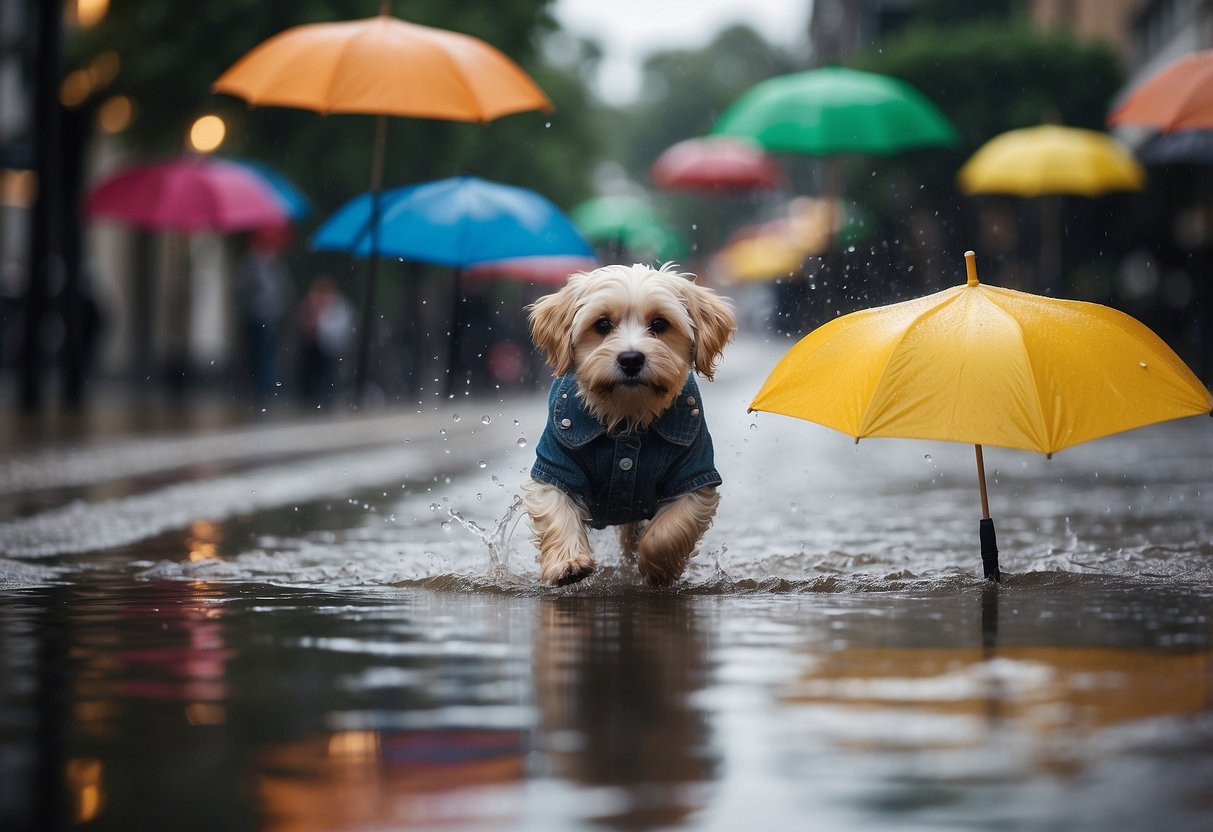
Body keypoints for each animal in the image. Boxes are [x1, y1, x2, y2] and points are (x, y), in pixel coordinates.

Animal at [519, 264, 732, 589]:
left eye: (660, 323)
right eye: (603, 324)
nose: (631, 359)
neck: (627, 417)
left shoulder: (694, 476)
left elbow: (666, 532)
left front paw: (659, 569)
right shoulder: (555, 466)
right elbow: (558, 513)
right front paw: (568, 563)